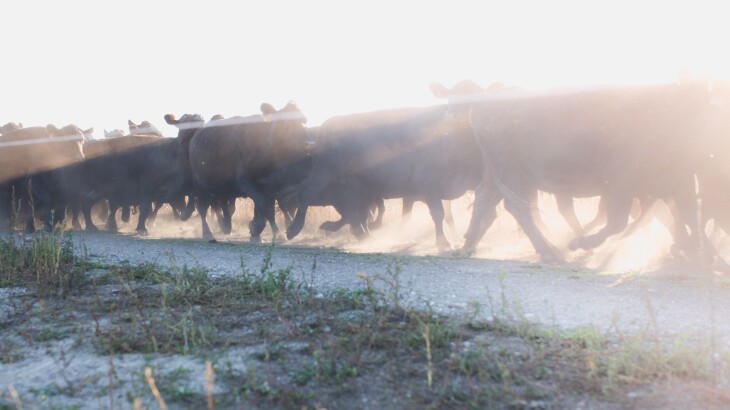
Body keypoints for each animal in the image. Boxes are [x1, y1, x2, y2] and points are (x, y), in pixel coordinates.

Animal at [184, 102, 310, 241]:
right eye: (288, 123)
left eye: (304, 121)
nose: (309, 143)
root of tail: (196, 133)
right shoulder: (246, 182)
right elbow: (264, 205)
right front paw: (270, 232)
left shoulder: (270, 186)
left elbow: (266, 207)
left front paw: (257, 230)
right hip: (201, 184)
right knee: (202, 207)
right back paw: (208, 232)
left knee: (222, 204)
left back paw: (226, 225)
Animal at [462, 81, 714, 263]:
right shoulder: (622, 184)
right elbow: (619, 222)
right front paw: (578, 243)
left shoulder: (678, 185)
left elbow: (687, 217)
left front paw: (704, 253)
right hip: (512, 173)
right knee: (517, 206)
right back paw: (549, 251)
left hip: (497, 174)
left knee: (485, 197)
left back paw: (469, 244)